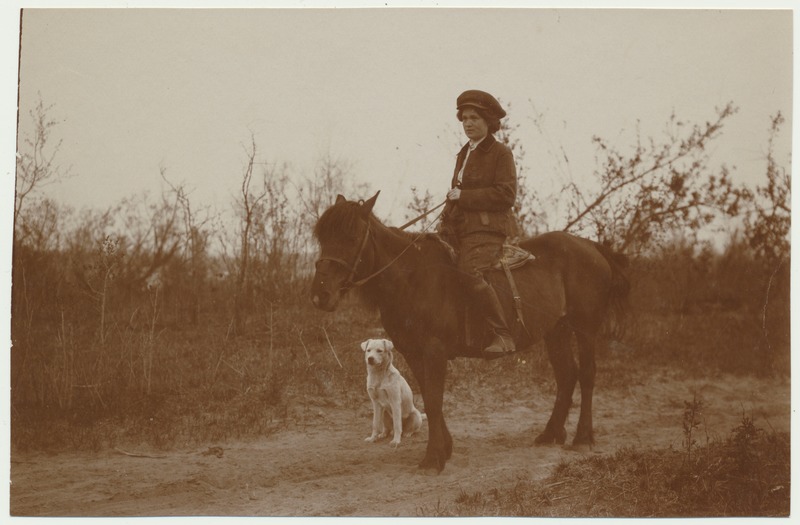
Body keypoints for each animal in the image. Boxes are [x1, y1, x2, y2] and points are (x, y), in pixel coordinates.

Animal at [310, 192, 628, 470]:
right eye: (322, 237)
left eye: (351, 237)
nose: (320, 294)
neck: (412, 279)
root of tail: (591, 246)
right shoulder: (413, 352)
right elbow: (430, 397)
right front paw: (445, 448)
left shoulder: (434, 351)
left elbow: (434, 400)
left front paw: (433, 458)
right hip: (556, 331)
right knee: (566, 376)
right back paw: (551, 433)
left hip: (585, 328)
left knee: (586, 375)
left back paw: (583, 437)